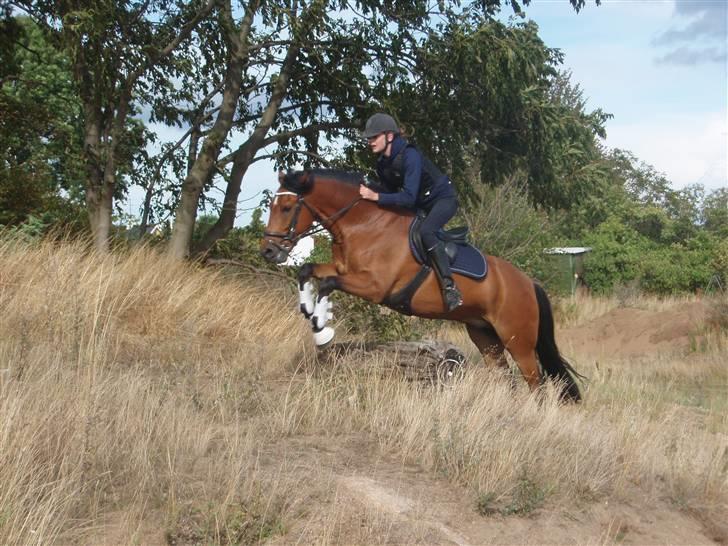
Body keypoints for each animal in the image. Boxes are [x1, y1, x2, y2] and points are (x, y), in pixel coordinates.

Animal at [258, 168, 584, 402]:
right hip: (486, 337)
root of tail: (529, 283)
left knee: (535, 382)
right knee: (507, 378)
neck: (364, 224)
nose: (269, 252)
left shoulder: (374, 286)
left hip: (519, 340)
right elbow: (308, 271)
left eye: (286, 207)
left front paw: (322, 329)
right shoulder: (345, 270)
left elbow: (327, 283)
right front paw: (307, 308)